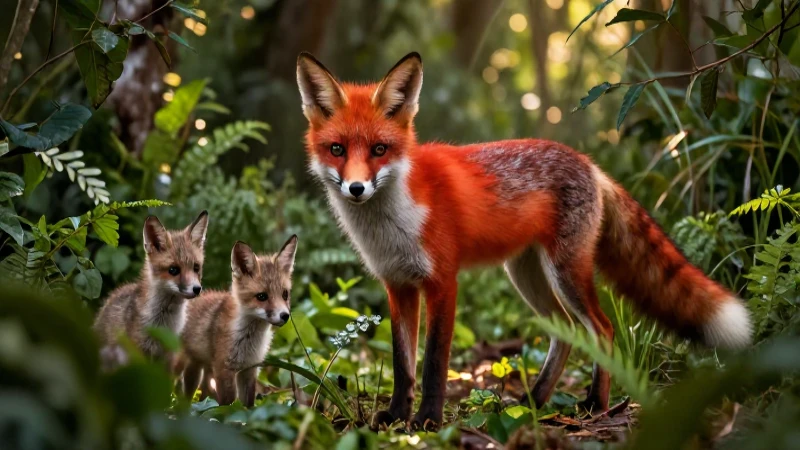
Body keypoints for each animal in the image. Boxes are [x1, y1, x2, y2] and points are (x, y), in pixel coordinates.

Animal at [94, 211, 209, 367]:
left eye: (196, 268)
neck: (163, 325)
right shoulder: (137, 352)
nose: (197, 289)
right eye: (173, 270)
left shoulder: (169, 355)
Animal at [177, 236, 297, 407]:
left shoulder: (249, 370)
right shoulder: (223, 370)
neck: (248, 340)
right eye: (262, 296)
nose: (285, 315)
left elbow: (247, 406)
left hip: (199, 367)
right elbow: (227, 406)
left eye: (285, 294)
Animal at [295, 52, 753, 429]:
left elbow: (433, 364)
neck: (392, 222)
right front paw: (394, 416)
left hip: (565, 273)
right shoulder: (399, 286)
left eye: (379, 149)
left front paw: (427, 420)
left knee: (602, 328)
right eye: (336, 149)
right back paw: (534, 401)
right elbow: (402, 364)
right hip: (526, 276)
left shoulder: (443, 282)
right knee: (566, 333)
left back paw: (595, 405)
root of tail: (589, 163)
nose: (356, 189)